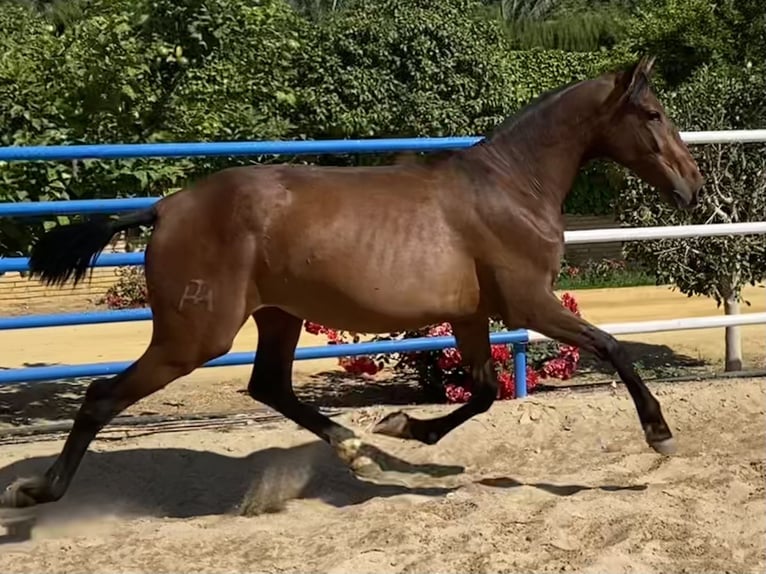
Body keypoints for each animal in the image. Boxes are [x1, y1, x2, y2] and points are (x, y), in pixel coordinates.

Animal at [0, 56, 704, 510]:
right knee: (101, 396)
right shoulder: (529, 304)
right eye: (652, 112)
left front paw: (401, 429)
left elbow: (481, 392)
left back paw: (358, 450)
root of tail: (165, 207)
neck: (509, 188)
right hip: (195, 335)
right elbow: (610, 347)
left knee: (269, 386)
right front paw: (661, 435)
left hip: (277, 315)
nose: (693, 187)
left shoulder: (471, 315)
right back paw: (36, 491)